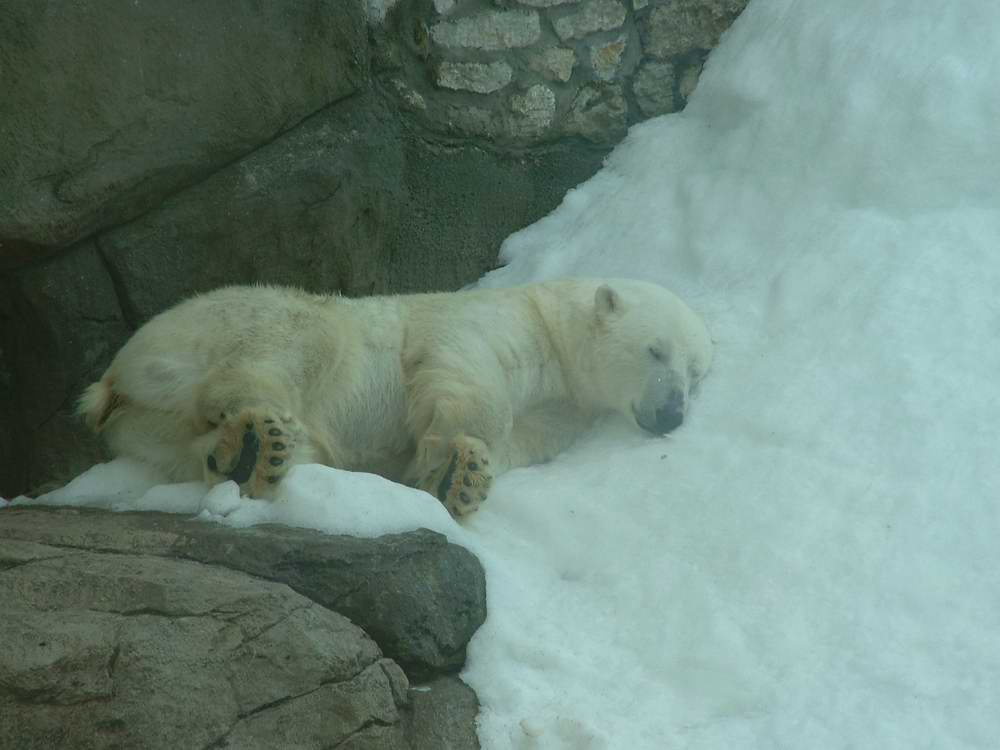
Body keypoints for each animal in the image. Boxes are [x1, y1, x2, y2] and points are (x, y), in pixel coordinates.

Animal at [79, 278, 712, 517]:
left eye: (697, 372)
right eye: (656, 351)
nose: (672, 413)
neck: (554, 330)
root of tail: (115, 379)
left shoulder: (565, 408)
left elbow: (523, 439)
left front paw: (456, 477)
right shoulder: (488, 320)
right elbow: (464, 370)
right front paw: (450, 465)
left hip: (150, 425)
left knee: (185, 448)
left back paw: (245, 454)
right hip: (231, 321)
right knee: (300, 339)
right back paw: (263, 438)